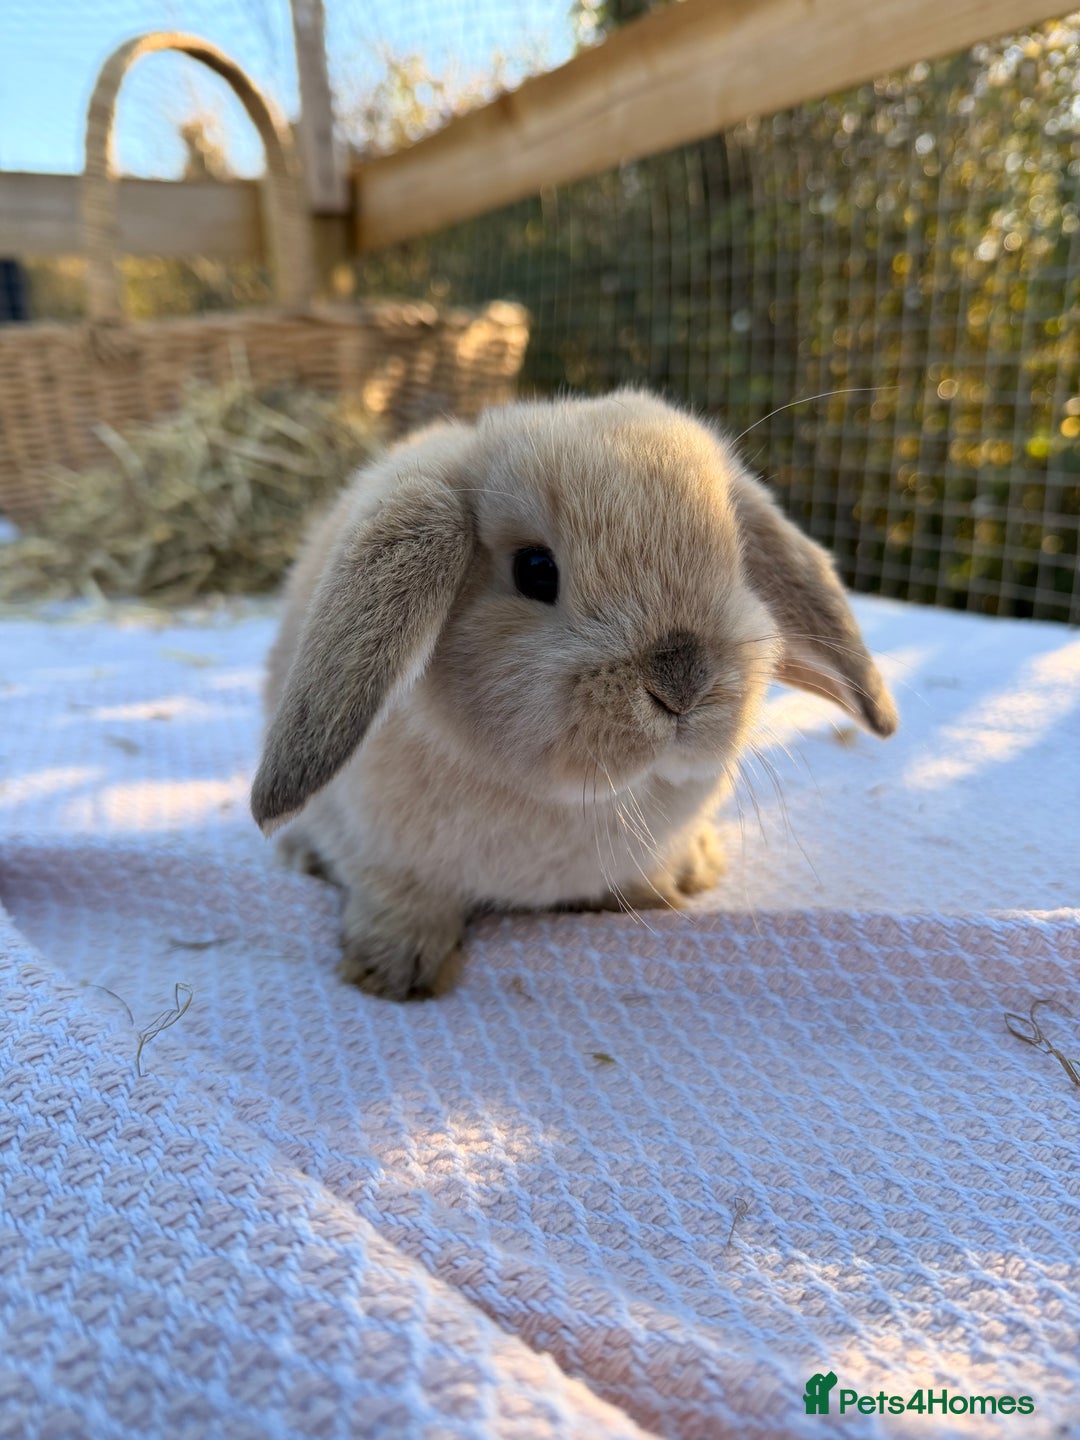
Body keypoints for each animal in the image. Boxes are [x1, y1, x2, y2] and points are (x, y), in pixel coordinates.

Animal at [252, 389, 897, 999]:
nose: (683, 683)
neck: (575, 799)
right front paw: (392, 970)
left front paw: (658, 893)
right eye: (536, 569)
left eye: (737, 561)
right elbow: (399, 900)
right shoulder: (382, 854)